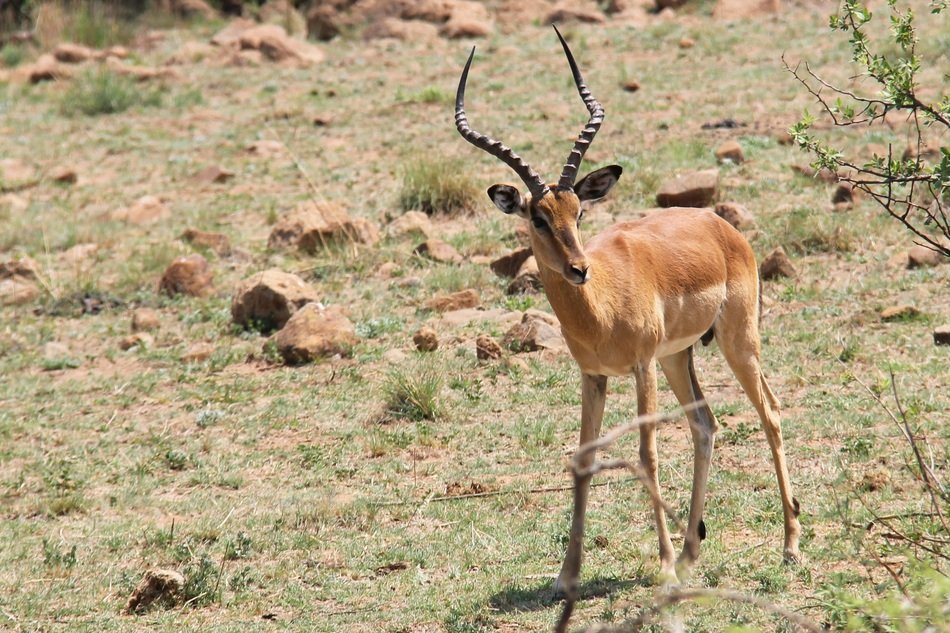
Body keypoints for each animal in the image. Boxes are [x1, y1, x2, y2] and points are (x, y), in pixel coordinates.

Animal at [454, 26, 801, 593]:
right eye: (538, 218)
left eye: (579, 211)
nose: (578, 269)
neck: (600, 308)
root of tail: (719, 224)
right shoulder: (593, 375)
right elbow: (584, 457)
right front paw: (566, 575)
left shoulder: (639, 367)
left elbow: (646, 455)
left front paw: (661, 566)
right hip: (677, 357)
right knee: (705, 424)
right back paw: (691, 551)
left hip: (736, 341)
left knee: (768, 413)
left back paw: (789, 546)